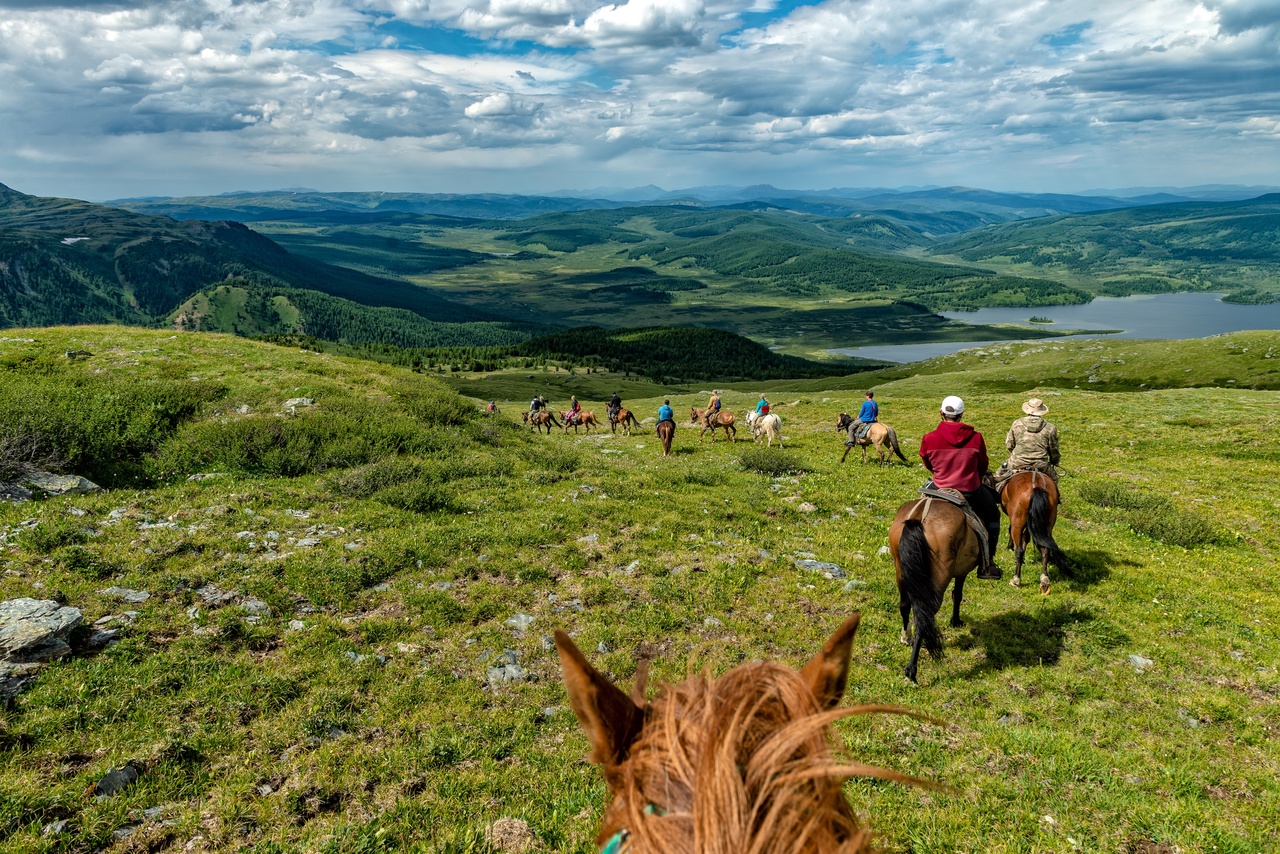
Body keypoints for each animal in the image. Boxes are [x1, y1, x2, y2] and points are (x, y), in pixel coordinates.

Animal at [885, 496, 983, 686]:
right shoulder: (962, 571)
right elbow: (957, 595)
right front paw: (956, 621)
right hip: (940, 574)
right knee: (925, 615)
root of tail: (918, 517)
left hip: (900, 569)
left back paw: (906, 637)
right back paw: (911, 671)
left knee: (905, 605)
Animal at [998, 471, 1070, 599]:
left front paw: (1009, 547)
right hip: (1048, 523)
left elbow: (1014, 534)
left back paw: (1016, 580)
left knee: (1019, 550)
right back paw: (1044, 581)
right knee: (1045, 550)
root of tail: (1037, 486)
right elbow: (1026, 539)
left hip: (1018, 521)